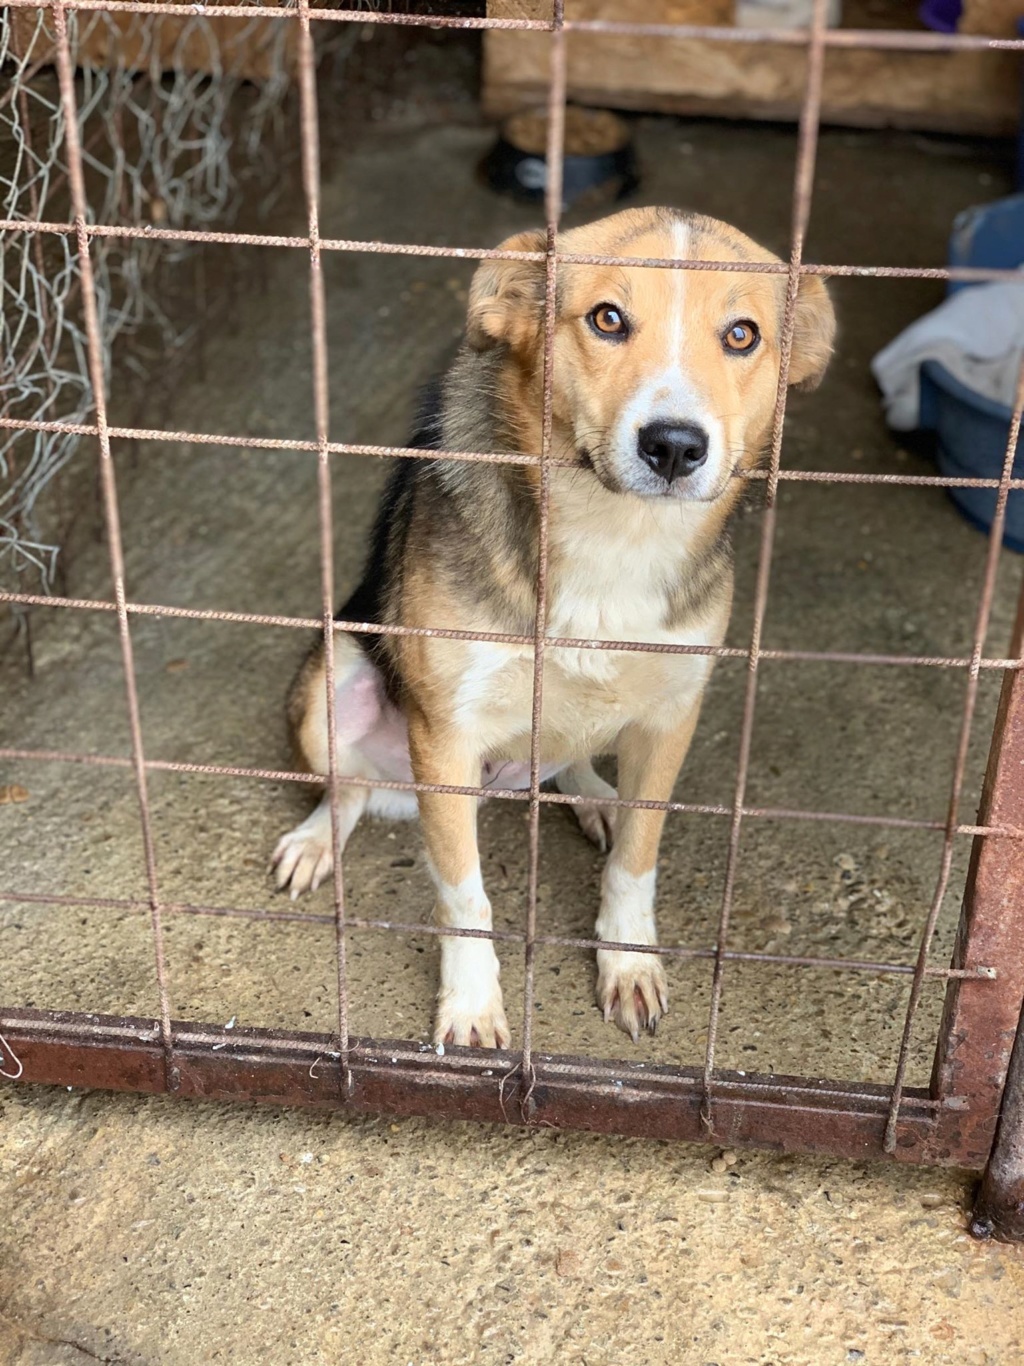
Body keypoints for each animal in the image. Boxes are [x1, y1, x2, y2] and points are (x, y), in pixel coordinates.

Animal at [273, 207, 835, 1049]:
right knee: (347, 788)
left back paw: (594, 794)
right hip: (331, 679)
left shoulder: (671, 718)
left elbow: (636, 861)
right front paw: (473, 1003)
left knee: (567, 761)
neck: (616, 536)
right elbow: (464, 895)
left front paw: (628, 961)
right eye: (607, 319)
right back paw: (315, 840)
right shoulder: (444, 733)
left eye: (742, 335)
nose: (674, 446)